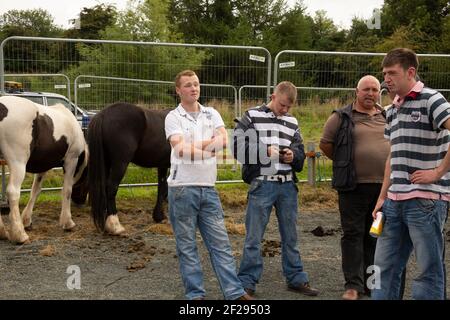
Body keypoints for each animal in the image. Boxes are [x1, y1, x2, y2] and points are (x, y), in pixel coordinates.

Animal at [0, 96, 88, 244]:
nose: (81, 202)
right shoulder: (71, 160)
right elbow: (67, 190)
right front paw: (67, 222)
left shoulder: (43, 166)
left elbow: (35, 190)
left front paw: (27, 220)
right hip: (18, 163)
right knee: (13, 192)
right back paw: (19, 234)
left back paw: (3, 232)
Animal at [83, 102, 170, 235]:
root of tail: (103, 114)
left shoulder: (163, 164)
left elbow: (162, 187)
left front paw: (159, 216)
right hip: (120, 163)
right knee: (111, 188)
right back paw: (115, 225)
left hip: (106, 162)